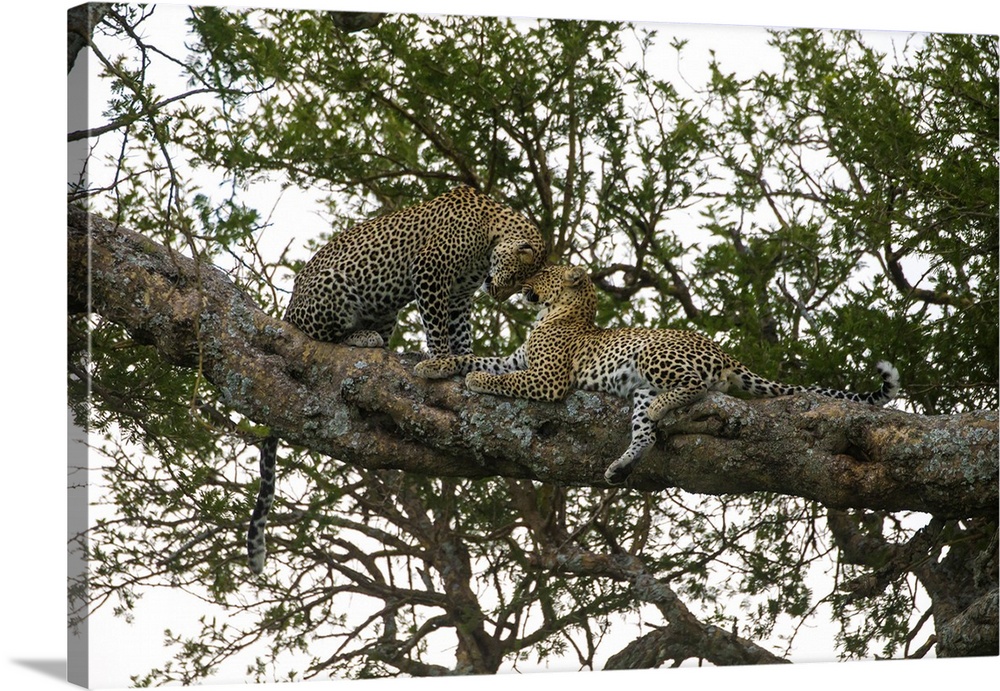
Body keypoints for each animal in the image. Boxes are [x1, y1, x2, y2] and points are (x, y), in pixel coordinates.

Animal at [248, 187, 548, 576]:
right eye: (513, 280)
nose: (496, 294)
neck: (489, 234)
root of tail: (288, 309)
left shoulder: (458, 297)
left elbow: (459, 333)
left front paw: (462, 361)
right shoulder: (431, 272)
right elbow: (436, 327)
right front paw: (438, 361)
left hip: (386, 310)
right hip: (336, 287)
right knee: (316, 333)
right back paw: (362, 338)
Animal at [414, 264, 900, 486]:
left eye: (545, 272)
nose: (522, 284)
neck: (559, 314)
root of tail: (723, 351)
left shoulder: (547, 378)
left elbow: (498, 378)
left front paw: (477, 383)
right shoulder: (516, 361)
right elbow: (473, 359)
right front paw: (431, 365)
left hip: (653, 355)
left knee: (695, 388)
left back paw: (666, 409)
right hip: (641, 392)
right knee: (646, 434)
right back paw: (621, 465)